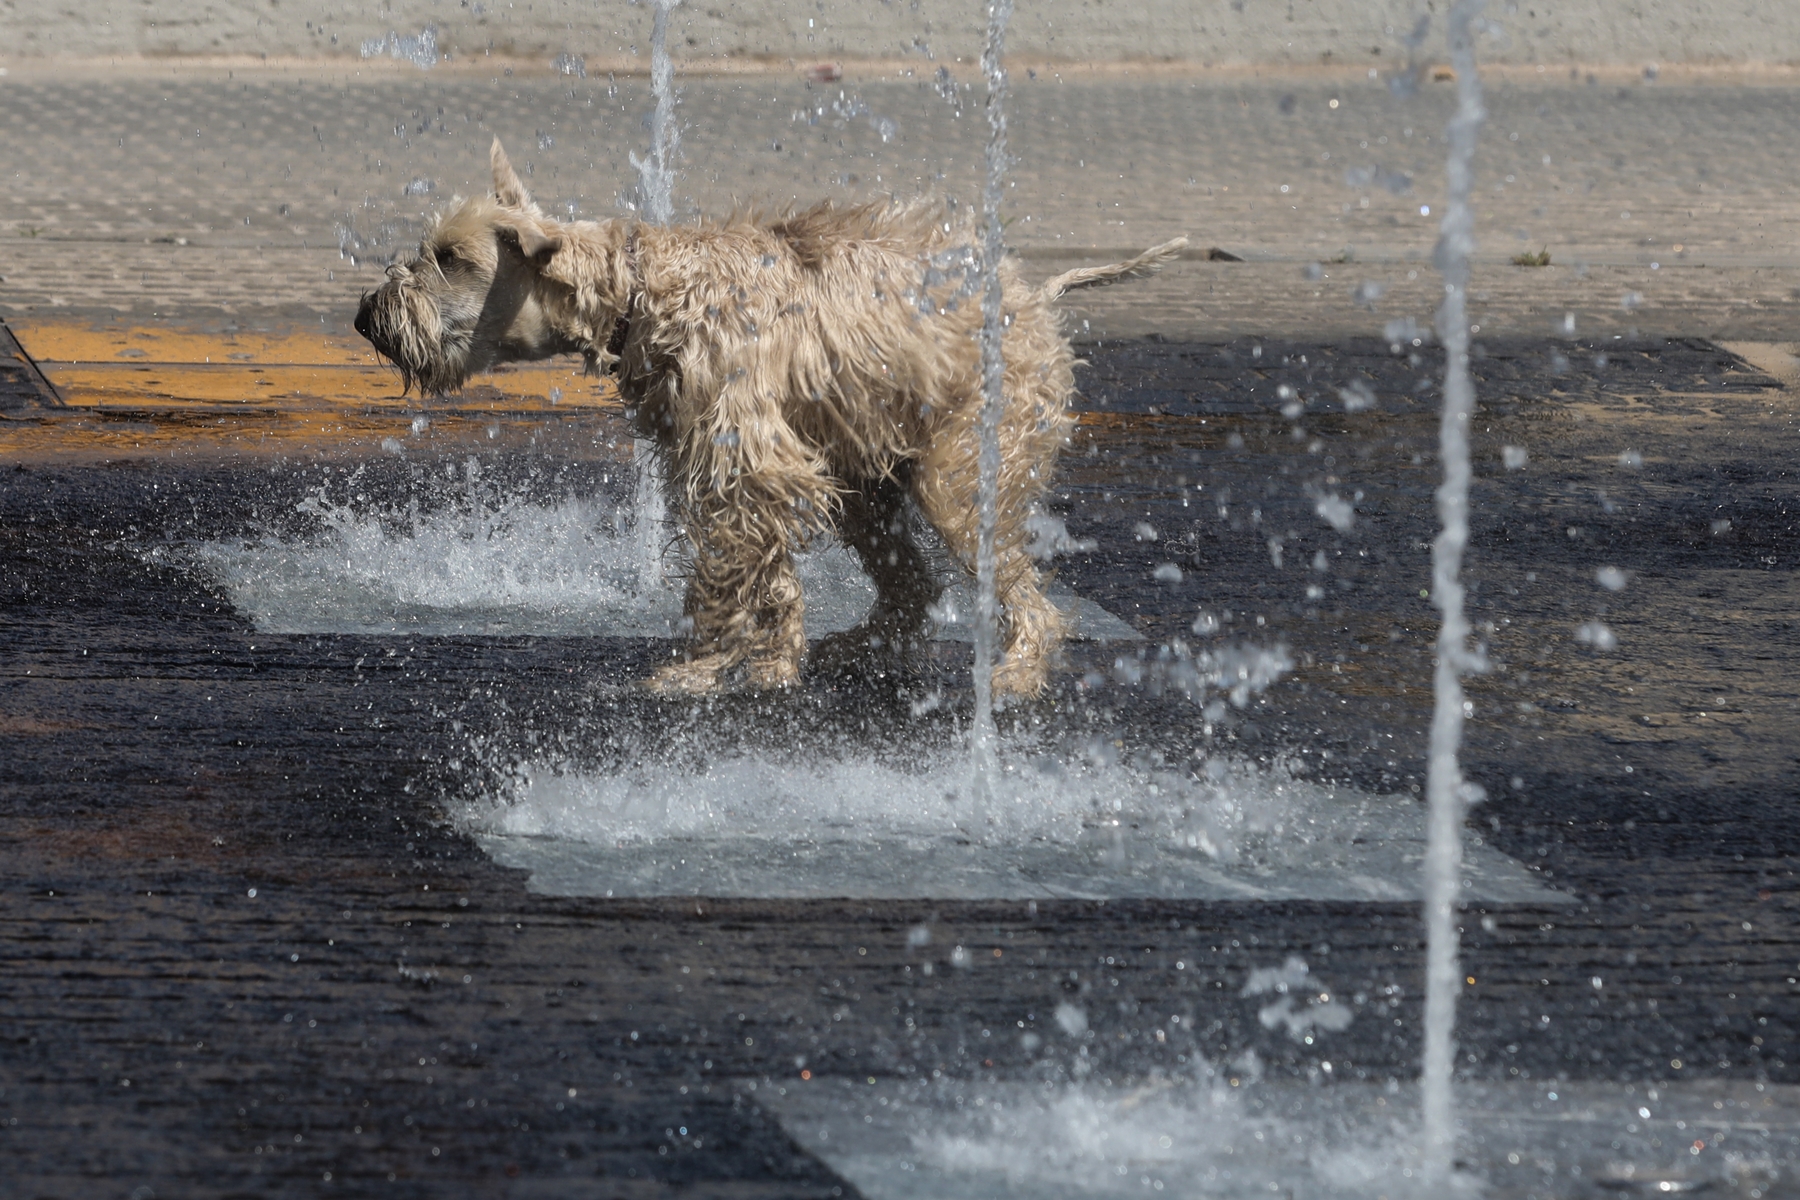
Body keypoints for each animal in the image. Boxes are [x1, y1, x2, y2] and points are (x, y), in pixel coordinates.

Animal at [358, 142, 1188, 698]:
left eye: (451, 257)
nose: (367, 315)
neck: (646, 293)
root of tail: (1039, 297)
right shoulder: (747, 466)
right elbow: (771, 574)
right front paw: (776, 659)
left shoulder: (745, 458)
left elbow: (727, 572)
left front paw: (704, 666)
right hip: (868, 481)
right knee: (911, 584)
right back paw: (862, 646)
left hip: (960, 476)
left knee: (1028, 600)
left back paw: (1016, 672)